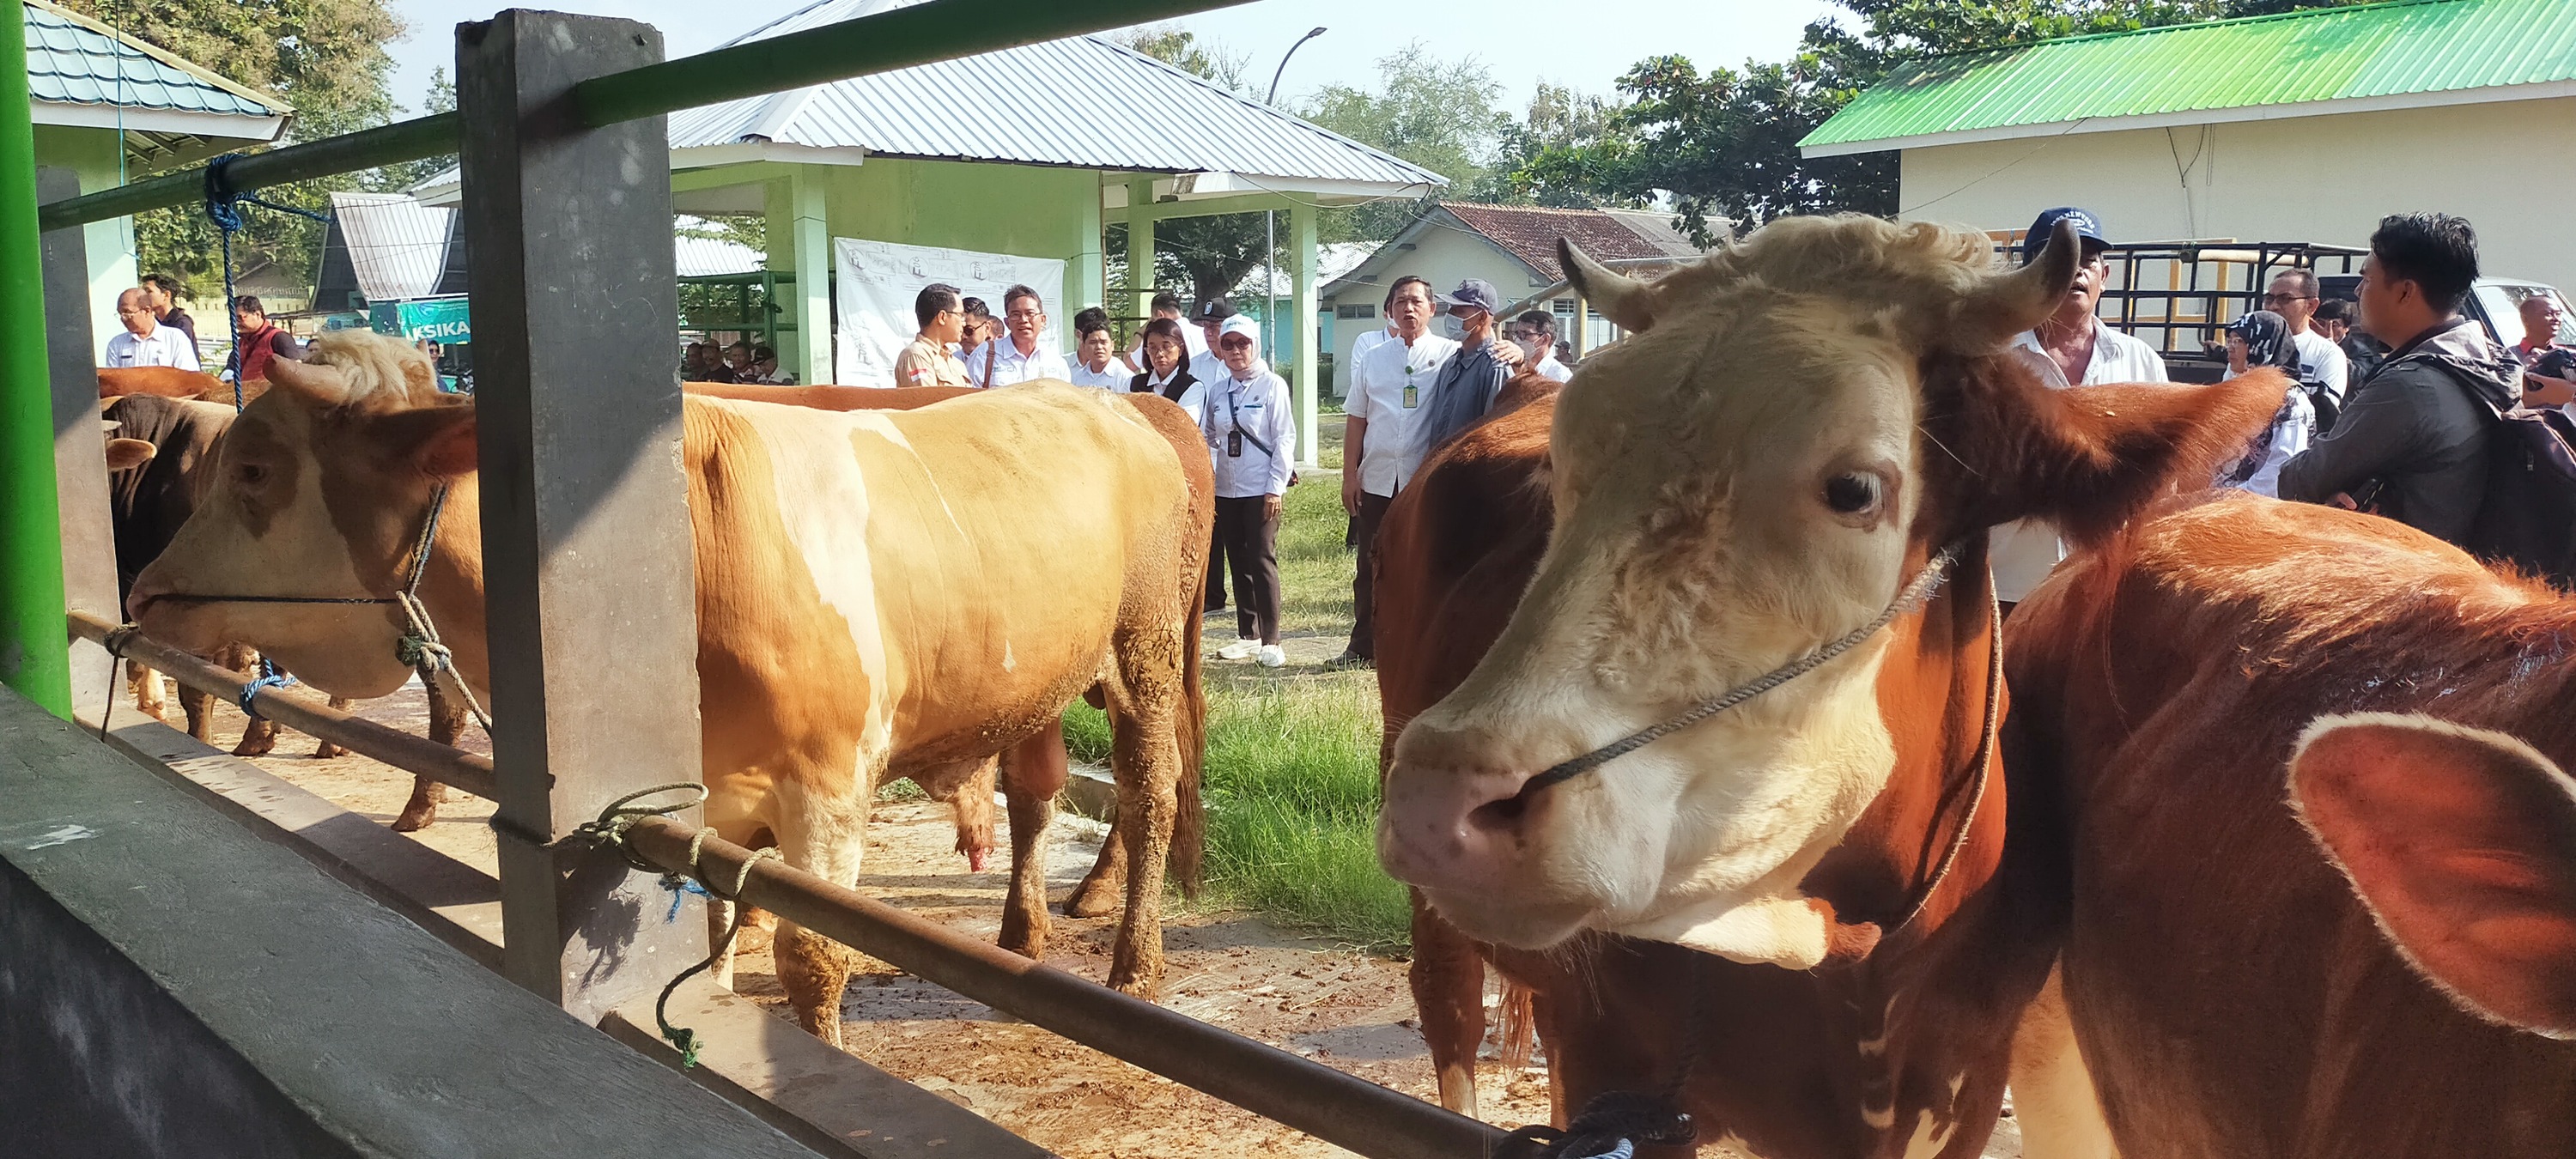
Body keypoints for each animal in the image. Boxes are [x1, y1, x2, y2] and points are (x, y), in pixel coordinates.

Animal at [121, 328, 1206, 1041]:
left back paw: (1134, 960)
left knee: (1151, 788)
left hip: (1143, 645)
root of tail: (1115, 402)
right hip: (1038, 673)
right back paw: (1021, 934)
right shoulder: (714, 785)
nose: (146, 588)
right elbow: (718, 902)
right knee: (1036, 789)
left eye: (254, 470)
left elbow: (813, 957)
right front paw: (714, 984)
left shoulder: (828, 785)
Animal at [1370, 212, 2277, 1154]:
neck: (1858, 954)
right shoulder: (1620, 1069)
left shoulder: (1965, 1087)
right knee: (1449, 1013)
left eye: (1853, 489)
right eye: (1566, 474)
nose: (1447, 791)